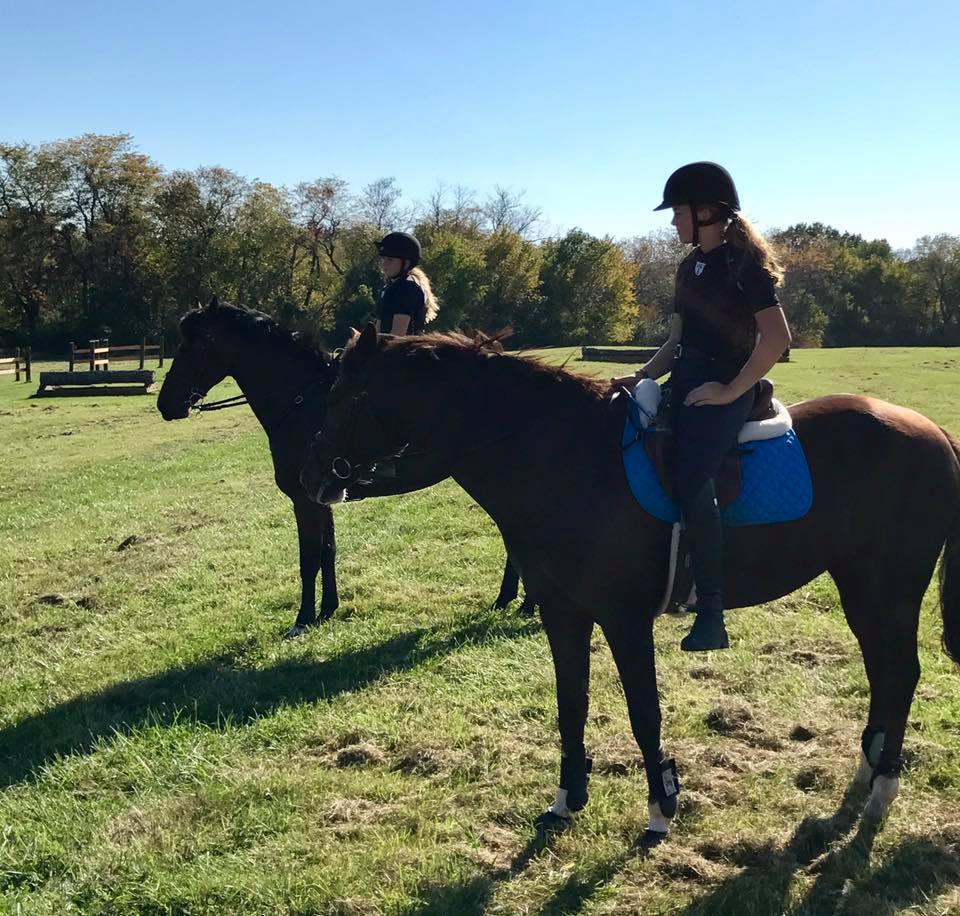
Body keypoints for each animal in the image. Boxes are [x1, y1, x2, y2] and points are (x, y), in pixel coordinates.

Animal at [157, 299, 530, 637]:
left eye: (198, 343)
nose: (166, 404)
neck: (301, 403)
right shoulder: (320, 496)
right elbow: (327, 552)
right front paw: (327, 610)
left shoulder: (304, 500)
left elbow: (309, 560)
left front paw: (302, 620)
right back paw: (509, 599)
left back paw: (521, 603)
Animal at [303, 323, 960, 841]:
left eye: (350, 393)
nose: (311, 475)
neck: (566, 460)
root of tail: (933, 432)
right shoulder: (562, 613)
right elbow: (571, 703)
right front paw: (567, 799)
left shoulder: (623, 619)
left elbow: (644, 712)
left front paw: (662, 807)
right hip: (861, 588)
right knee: (883, 673)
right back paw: (867, 773)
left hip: (890, 589)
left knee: (901, 674)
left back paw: (882, 789)